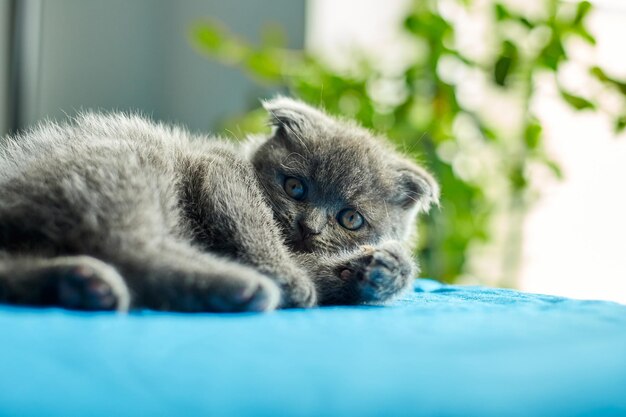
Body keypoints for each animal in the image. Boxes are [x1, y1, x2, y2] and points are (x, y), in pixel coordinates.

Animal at [0, 97, 438, 310]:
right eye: (295, 188)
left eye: (350, 218)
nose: (308, 226)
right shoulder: (219, 170)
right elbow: (258, 229)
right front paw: (289, 278)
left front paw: (380, 269)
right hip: (126, 165)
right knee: (133, 247)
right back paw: (239, 287)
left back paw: (80, 284)